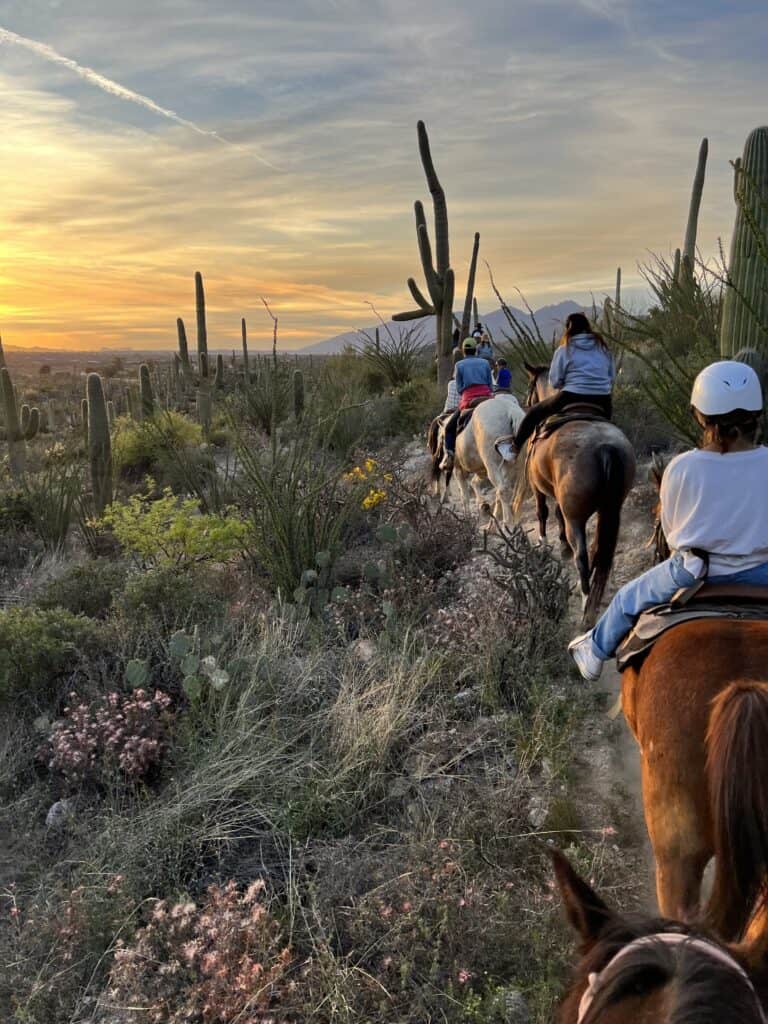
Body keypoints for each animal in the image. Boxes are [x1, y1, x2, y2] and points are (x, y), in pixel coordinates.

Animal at [430, 393, 528, 528]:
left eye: (443, 438)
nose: (443, 465)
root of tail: (509, 410)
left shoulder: (458, 470)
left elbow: (464, 496)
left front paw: (467, 519)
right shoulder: (482, 470)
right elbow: (475, 482)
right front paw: (482, 505)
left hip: (493, 465)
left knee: (503, 490)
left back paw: (507, 524)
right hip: (511, 465)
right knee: (502, 491)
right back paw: (492, 525)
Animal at [524, 364, 638, 626]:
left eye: (531, 388)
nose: (526, 402)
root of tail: (605, 447)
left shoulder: (538, 488)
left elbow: (543, 512)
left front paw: (545, 543)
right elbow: (557, 515)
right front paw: (562, 547)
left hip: (576, 516)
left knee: (583, 556)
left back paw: (586, 601)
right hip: (611, 509)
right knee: (602, 549)